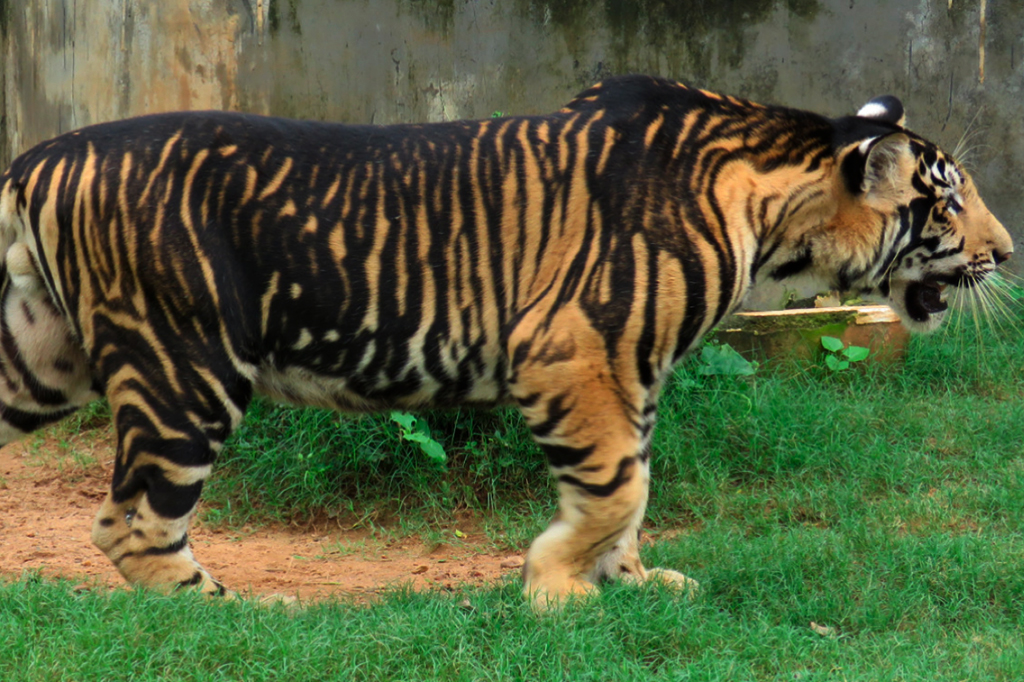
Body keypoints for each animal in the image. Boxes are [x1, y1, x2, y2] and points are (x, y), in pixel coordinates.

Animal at [0, 75, 1011, 609]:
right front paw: (558, 591)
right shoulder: (577, 354)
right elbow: (616, 486)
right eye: (951, 199)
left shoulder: (633, 373)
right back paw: (235, 615)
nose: (1006, 252)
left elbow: (635, 487)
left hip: (41, 360)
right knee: (131, 521)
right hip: (187, 367)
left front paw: (635, 581)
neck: (773, 209)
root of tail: (38, 155)